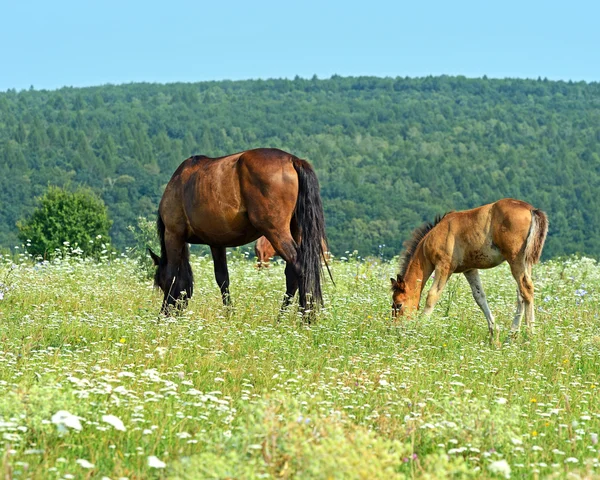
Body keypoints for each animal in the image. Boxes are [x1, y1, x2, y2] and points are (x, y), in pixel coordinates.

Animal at [149, 148, 328, 316]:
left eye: (161, 283)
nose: (174, 313)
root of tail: (293, 160)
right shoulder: (216, 242)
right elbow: (222, 279)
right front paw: (229, 314)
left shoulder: (173, 235)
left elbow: (172, 275)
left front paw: (162, 316)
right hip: (296, 231)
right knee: (293, 274)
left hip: (276, 231)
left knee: (299, 267)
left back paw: (306, 319)